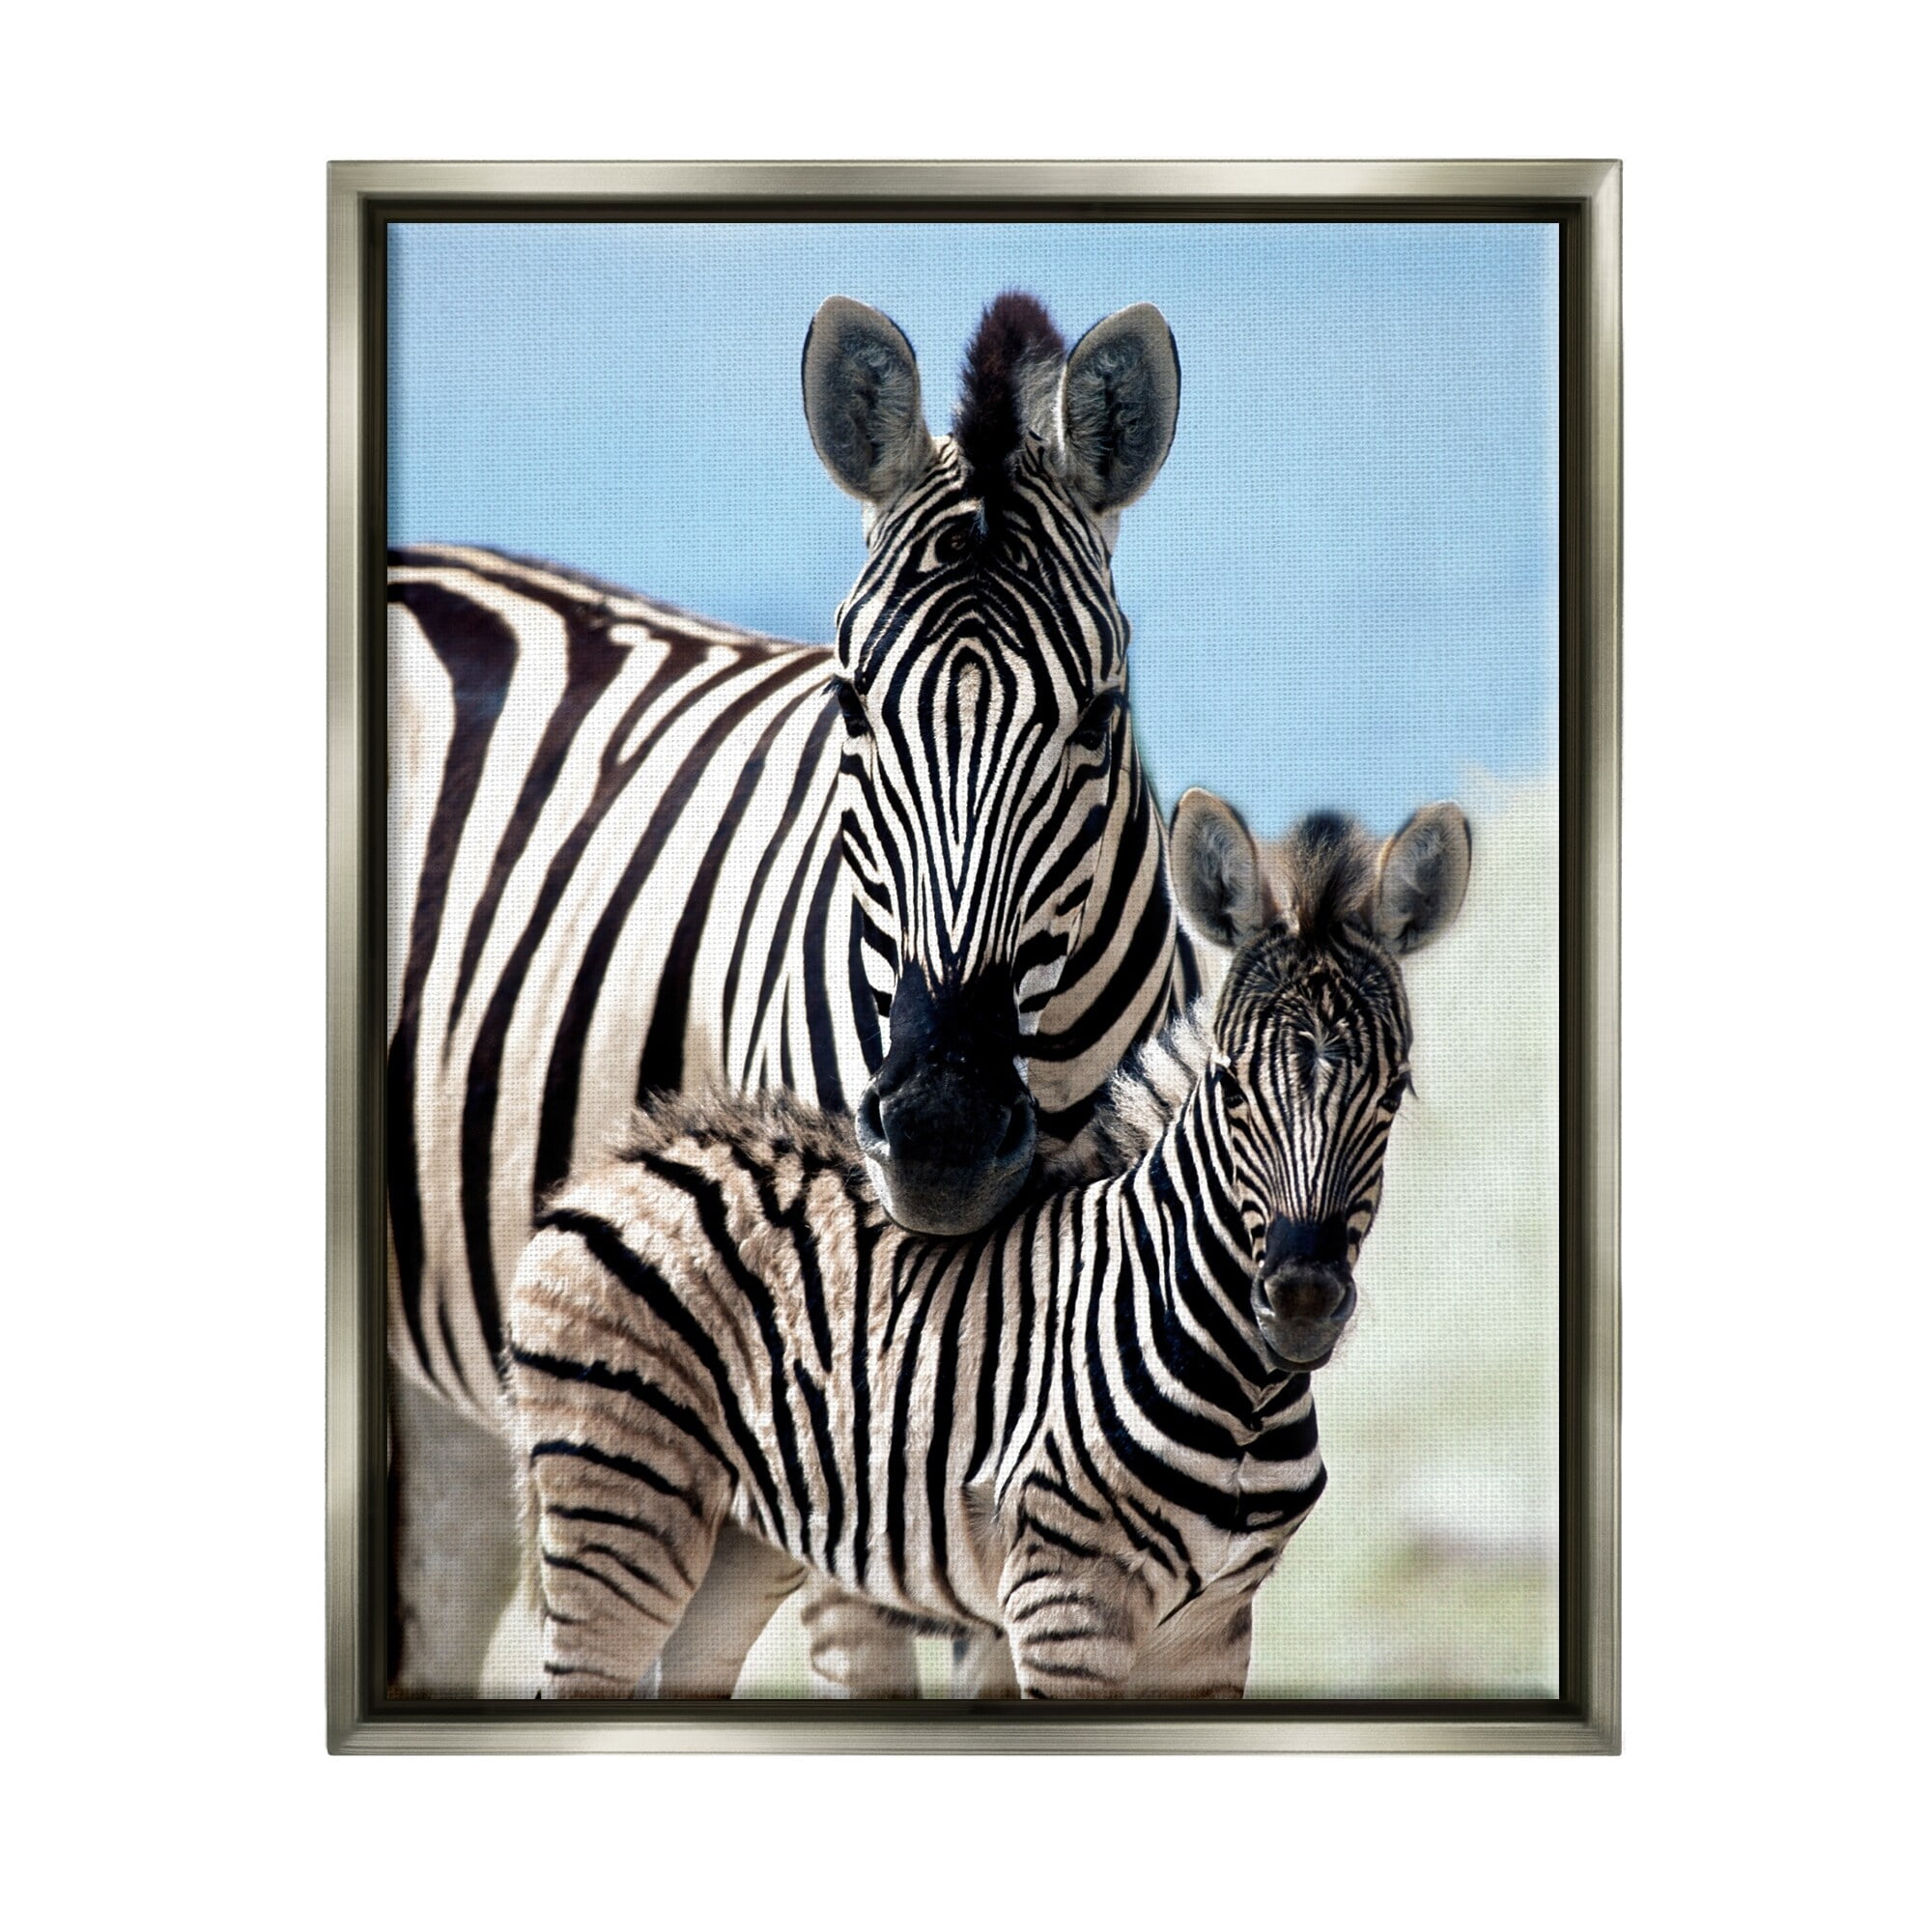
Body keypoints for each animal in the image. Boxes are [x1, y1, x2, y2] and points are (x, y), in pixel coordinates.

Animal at [505, 788, 1472, 1699]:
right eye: (1232, 1087)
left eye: (1396, 1091)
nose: (1303, 1299)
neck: (1244, 1388)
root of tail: (618, 1163)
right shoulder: (1067, 1601)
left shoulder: (1215, 1625)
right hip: (621, 1509)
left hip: (738, 1547)